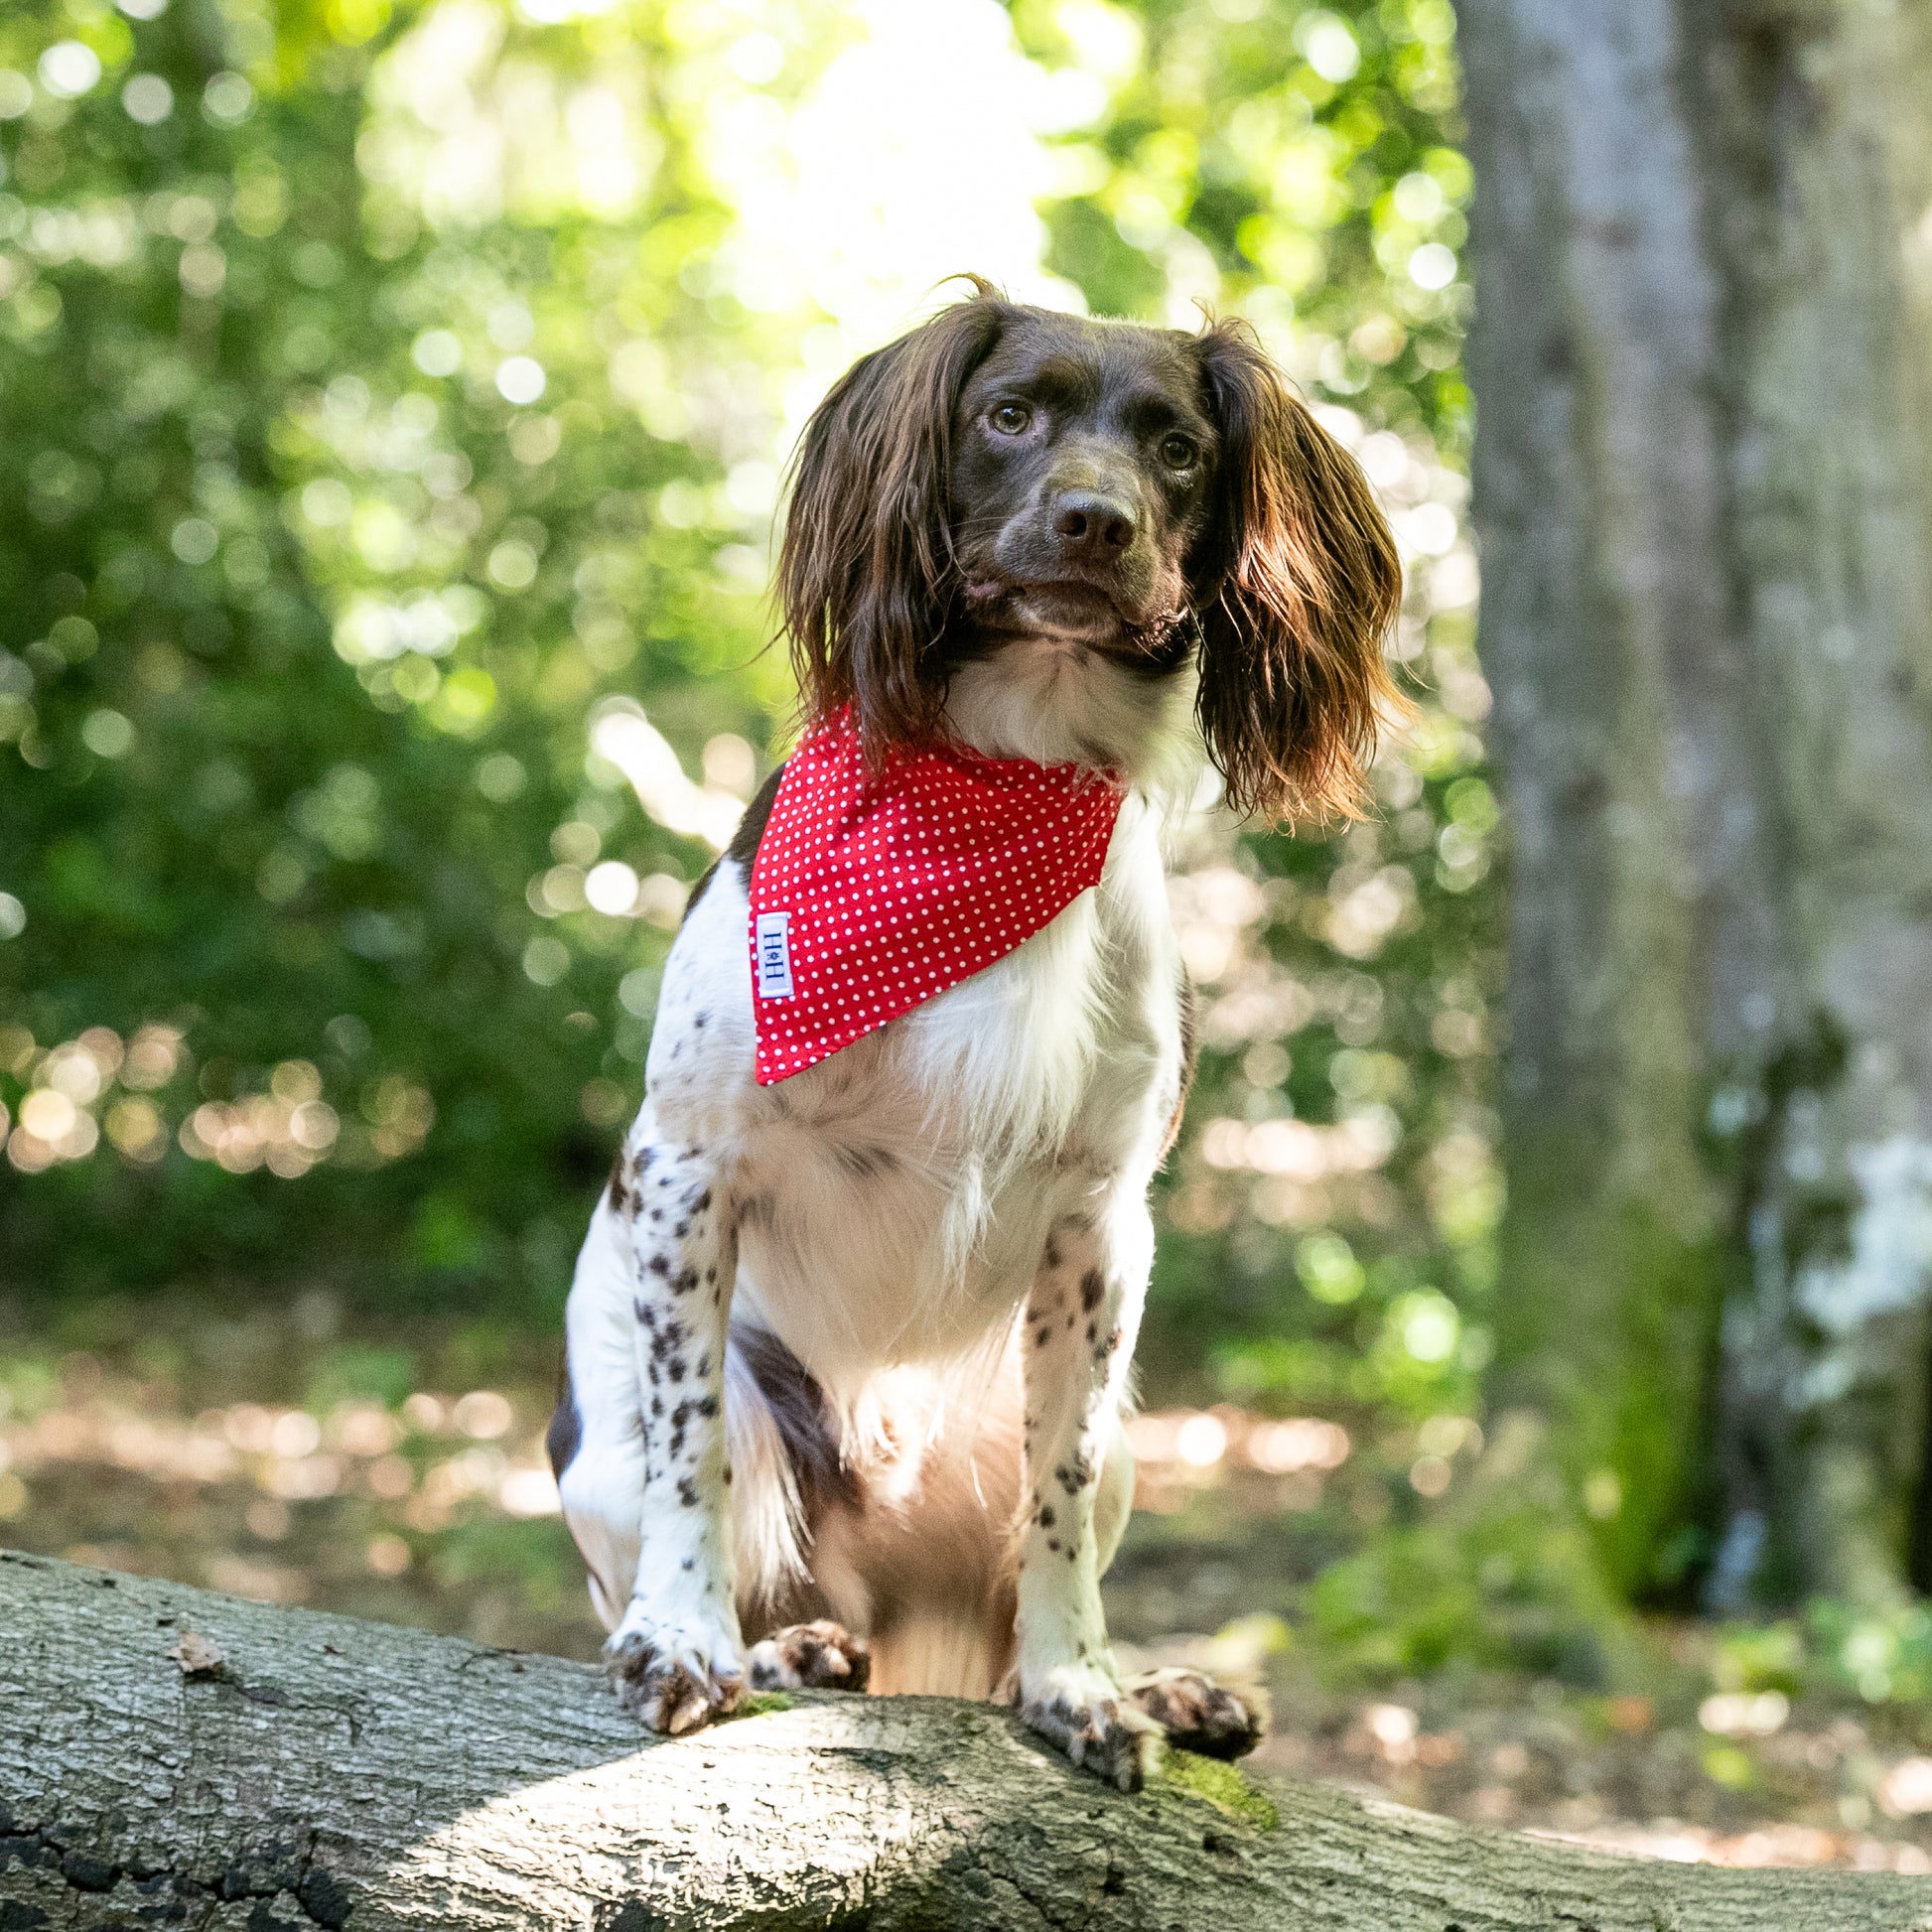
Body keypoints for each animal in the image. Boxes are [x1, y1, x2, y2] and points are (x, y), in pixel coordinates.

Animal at [548, 280, 1406, 1785]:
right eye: (1007, 416)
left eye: (1176, 447)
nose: (1094, 520)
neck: (995, 786)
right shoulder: (688, 1165)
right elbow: (688, 1440)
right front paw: (682, 1636)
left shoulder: (1099, 1220)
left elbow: (1056, 1501)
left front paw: (1081, 1688)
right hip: (636, 1434)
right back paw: (788, 1645)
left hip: (1098, 1435)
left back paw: (1158, 1686)